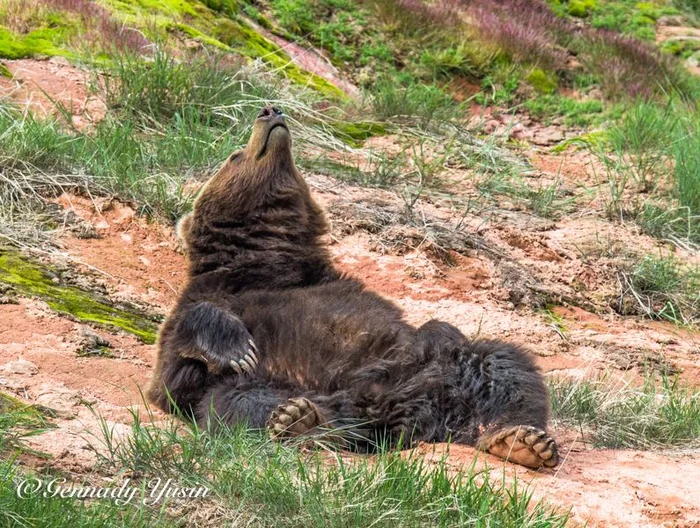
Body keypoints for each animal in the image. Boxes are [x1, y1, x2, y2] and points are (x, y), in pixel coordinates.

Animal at [148, 105, 556, 468]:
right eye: (234, 156)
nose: (270, 111)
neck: (267, 257)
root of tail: (391, 415)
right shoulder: (212, 297)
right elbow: (175, 373)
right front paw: (235, 348)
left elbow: (435, 329)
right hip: (280, 383)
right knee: (240, 402)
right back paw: (300, 421)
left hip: (439, 370)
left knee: (505, 365)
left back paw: (522, 440)